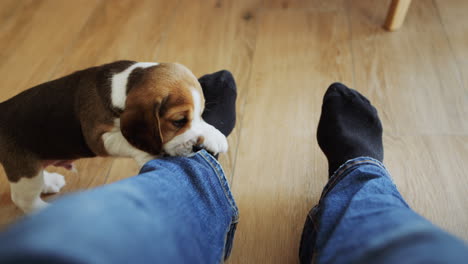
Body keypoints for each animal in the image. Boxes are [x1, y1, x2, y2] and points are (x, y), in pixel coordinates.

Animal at [0, 59, 228, 212]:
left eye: (200, 114)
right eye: (178, 121)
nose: (198, 148)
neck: (125, 84)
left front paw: (214, 135)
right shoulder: (98, 138)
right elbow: (125, 141)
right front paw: (148, 155)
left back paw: (50, 182)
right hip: (25, 171)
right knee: (23, 199)